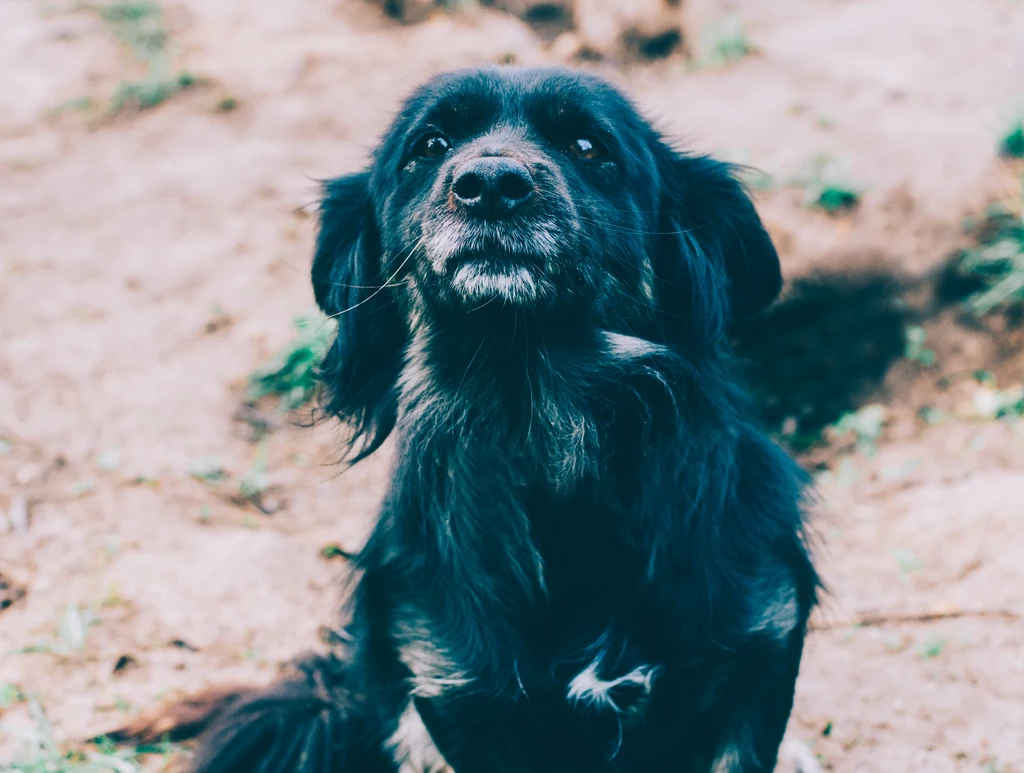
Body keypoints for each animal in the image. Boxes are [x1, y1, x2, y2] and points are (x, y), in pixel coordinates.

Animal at [155, 68, 819, 773]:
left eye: (589, 146)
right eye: (430, 145)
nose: (492, 185)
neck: (539, 407)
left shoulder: (757, 654)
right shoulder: (458, 693)